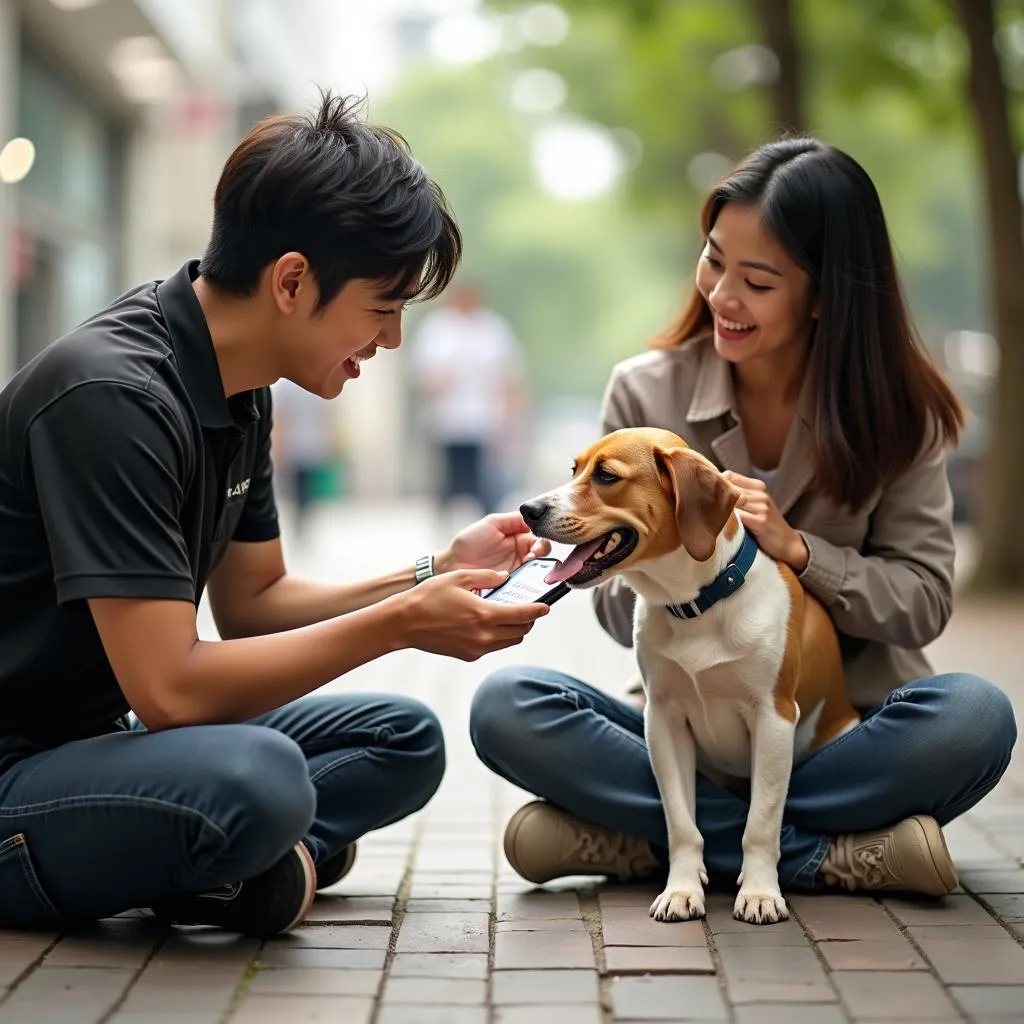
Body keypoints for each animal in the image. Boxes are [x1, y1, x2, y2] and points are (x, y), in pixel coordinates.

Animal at [516, 428, 860, 925]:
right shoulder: (663, 720)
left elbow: (760, 824)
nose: (528, 510)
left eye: (606, 476)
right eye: (574, 469)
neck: (697, 604)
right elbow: (682, 823)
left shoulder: (773, 718)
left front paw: (760, 892)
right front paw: (681, 889)